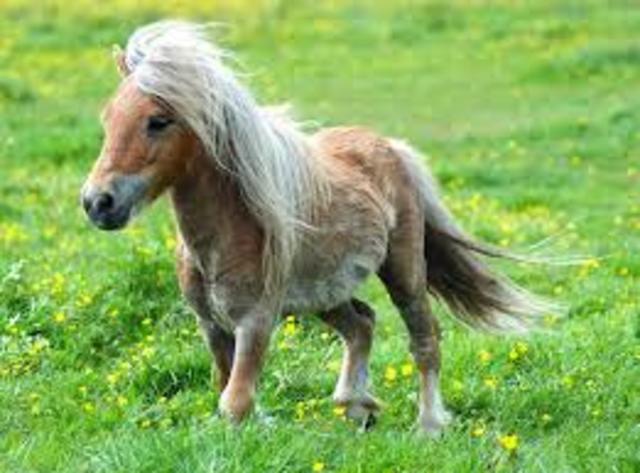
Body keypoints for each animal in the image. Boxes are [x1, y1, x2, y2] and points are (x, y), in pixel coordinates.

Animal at [81, 21, 554, 436]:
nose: (97, 203)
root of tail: (391, 147)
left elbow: (235, 401)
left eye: (159, 120)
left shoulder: (255, 321)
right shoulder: (211, 325)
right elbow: (227, 391)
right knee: (362, 323)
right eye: (107, 118)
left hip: (403, 270)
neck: (223, 238)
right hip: (325, 292)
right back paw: (357, 407)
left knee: (424, 339)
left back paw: (428, 426)